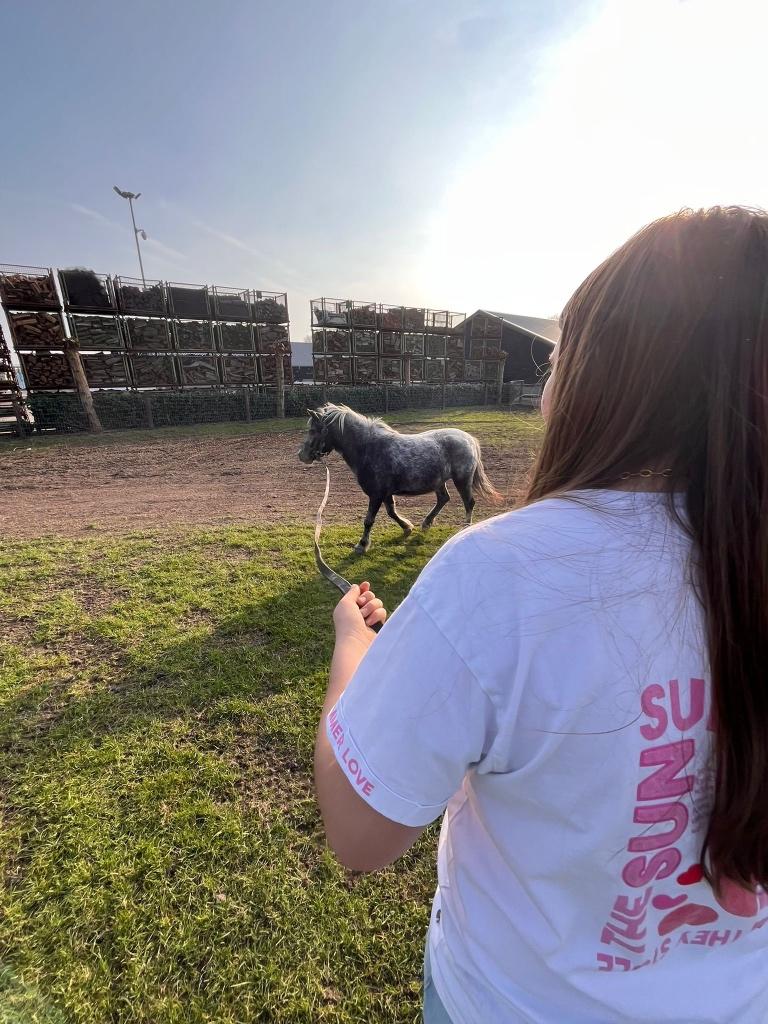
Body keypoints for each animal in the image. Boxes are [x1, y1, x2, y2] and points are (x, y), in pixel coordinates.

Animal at [298, 403, 500, 554]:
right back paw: (426, 523)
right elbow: (391, 512)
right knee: (444, 499)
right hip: (439, 481)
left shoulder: (376, 494)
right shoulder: (385, 493)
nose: (302, 455)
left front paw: (362, 545)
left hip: (462, 480)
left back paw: (464, 529)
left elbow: (369, 520)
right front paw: (407, 527)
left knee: (469, 503)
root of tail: (469, 439)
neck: (369, 448)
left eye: (313, 430)